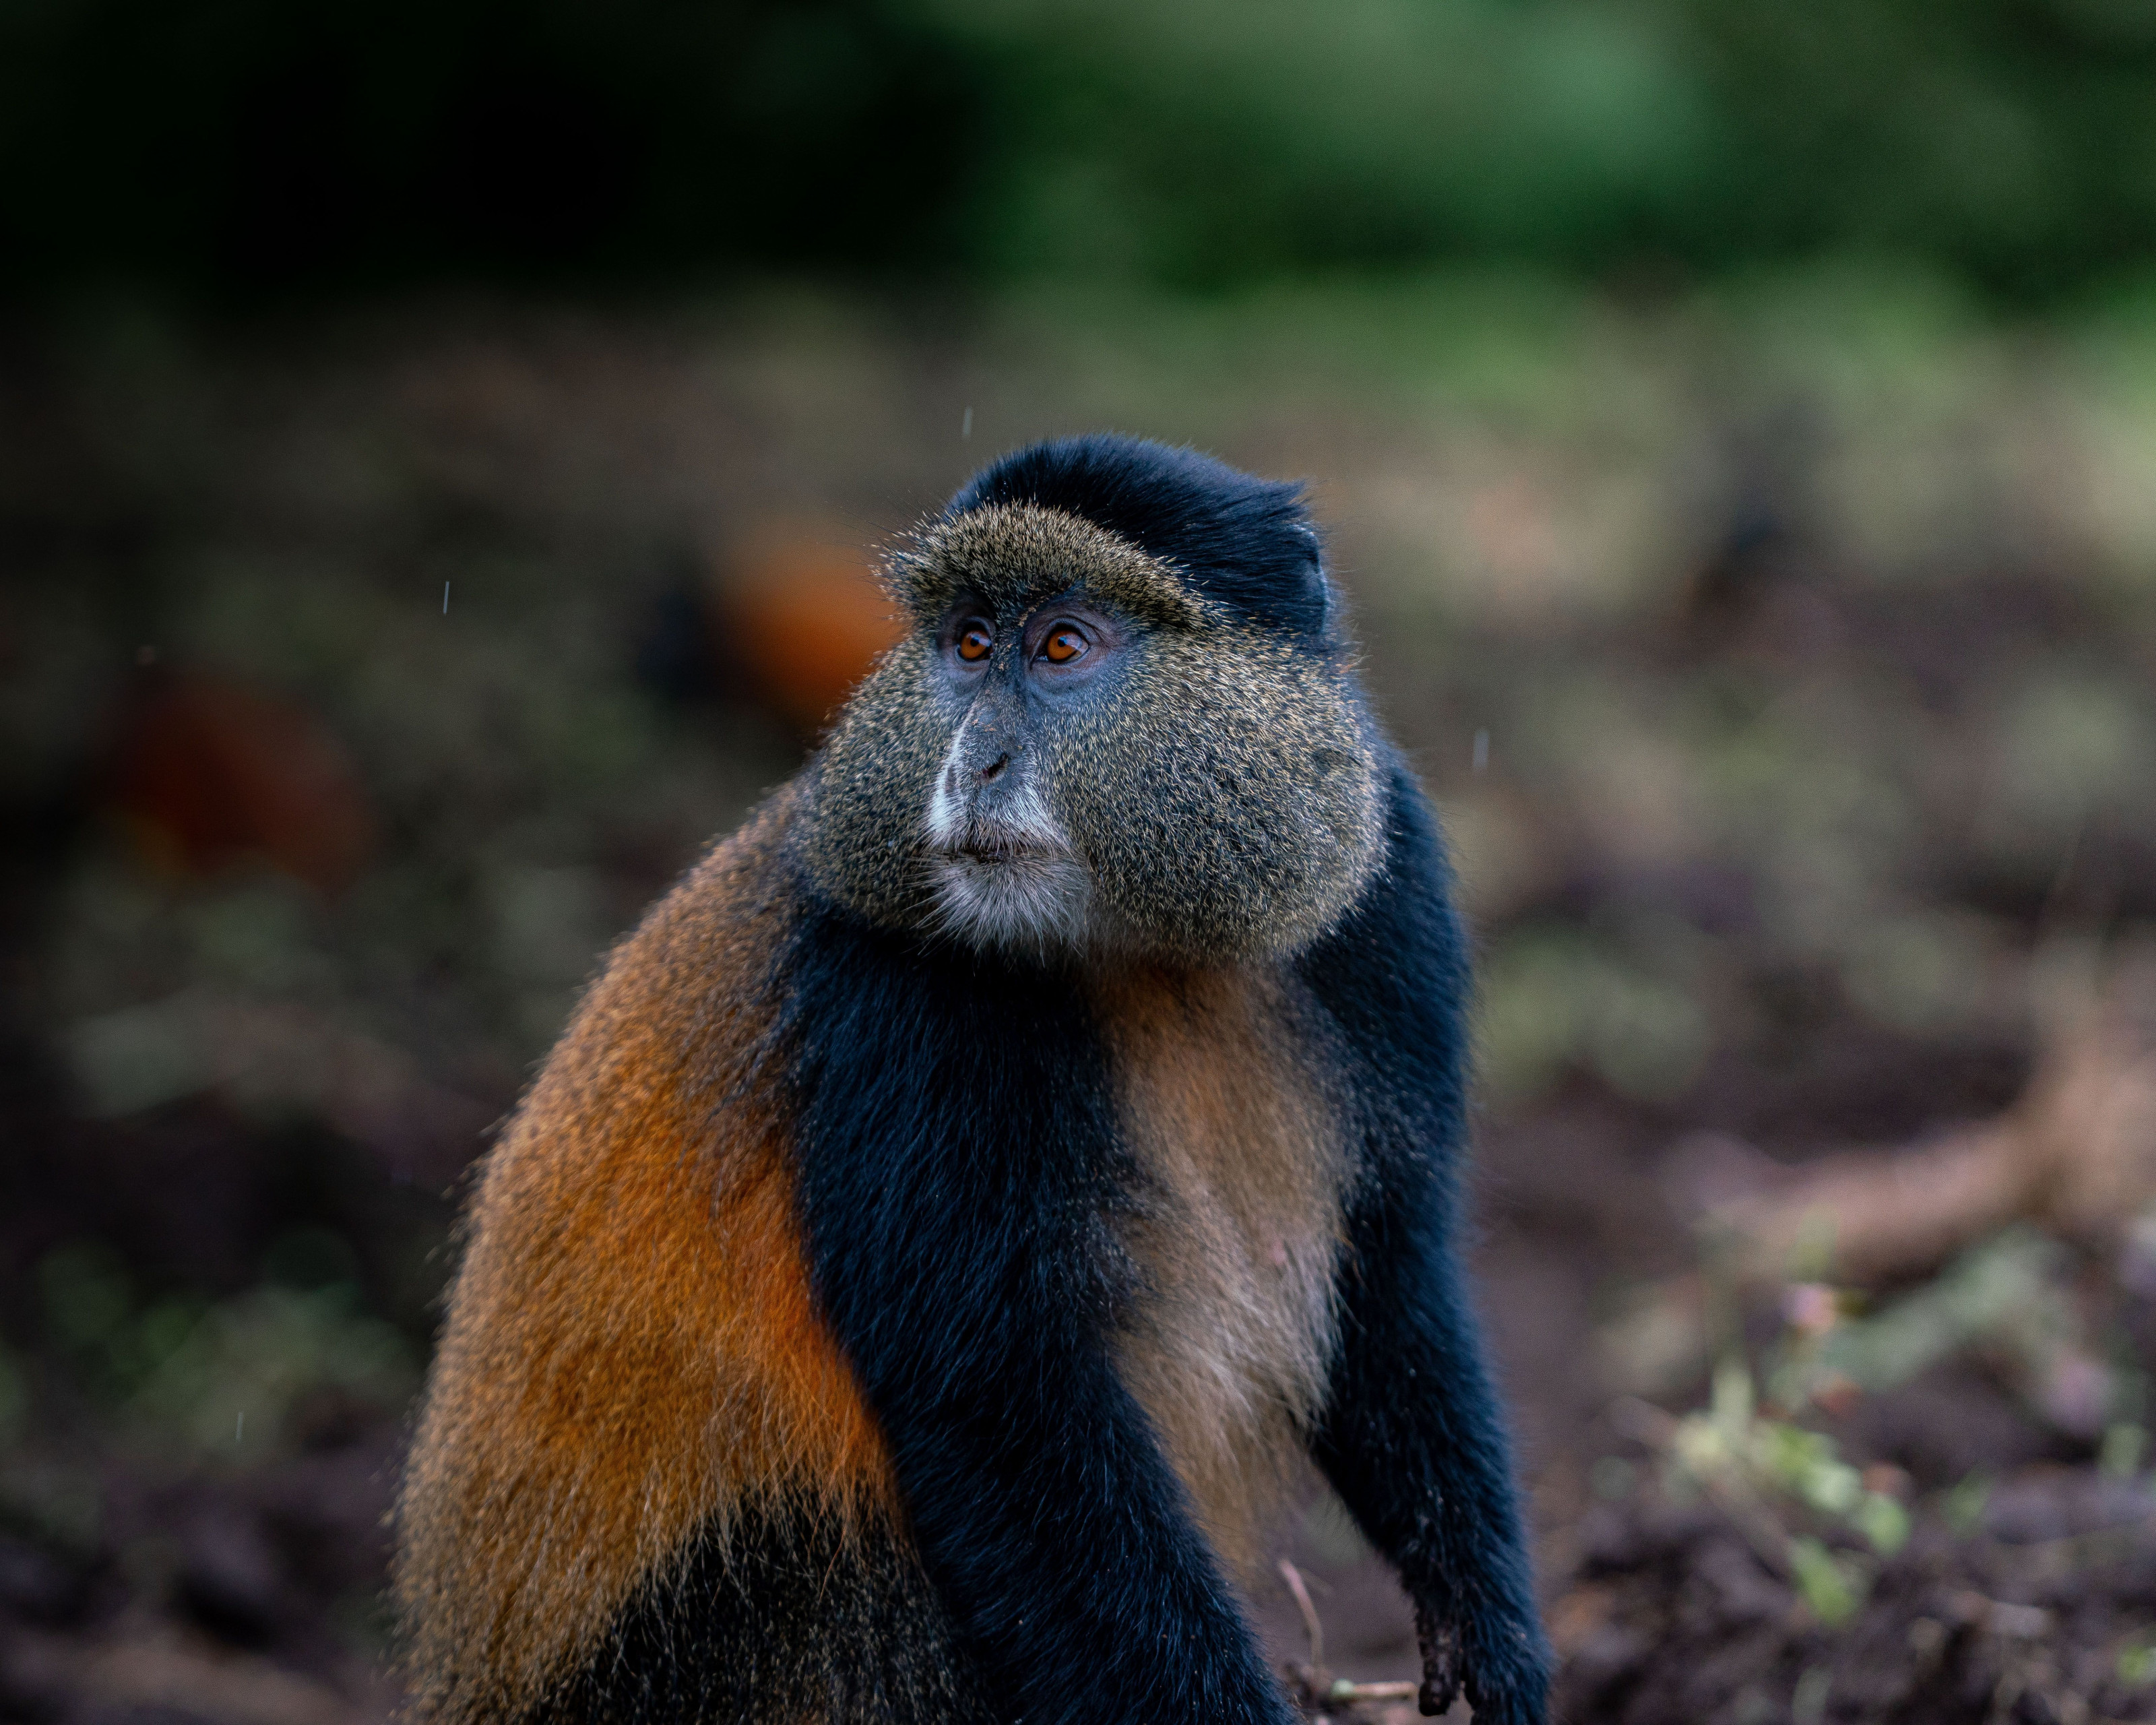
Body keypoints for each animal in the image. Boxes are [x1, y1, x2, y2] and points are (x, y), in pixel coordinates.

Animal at [394, 433, 1551, 1725]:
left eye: (1061, 647)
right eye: (968, 646)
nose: (972, 762)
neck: (1144, 948)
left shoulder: (1390, 892)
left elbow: (1390, 1273)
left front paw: (1487, 1631)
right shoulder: (894, 987)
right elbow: (995, 1398)